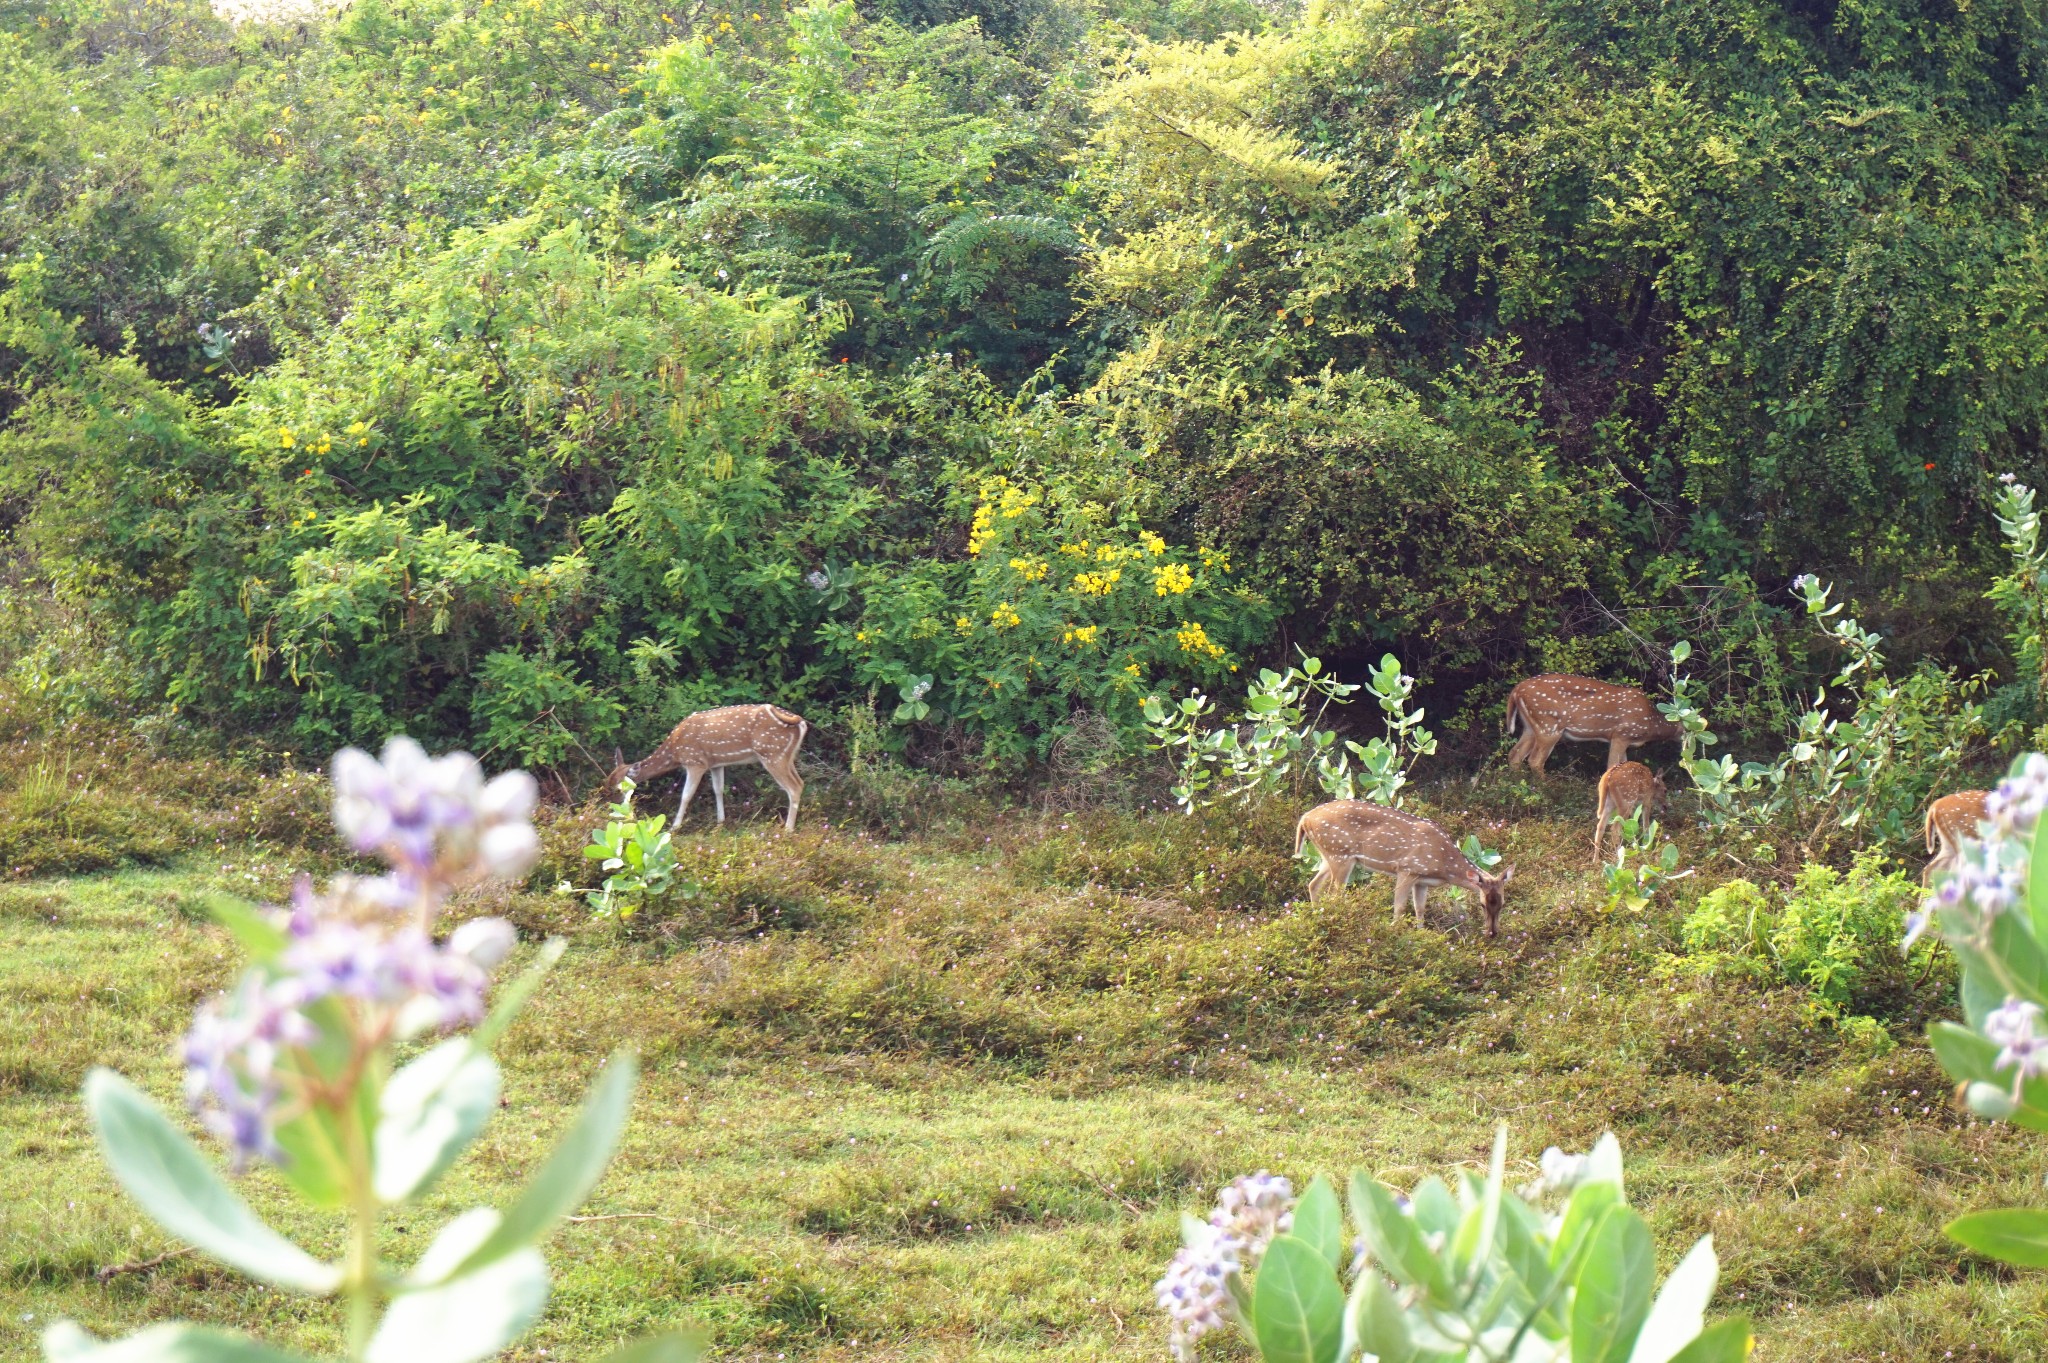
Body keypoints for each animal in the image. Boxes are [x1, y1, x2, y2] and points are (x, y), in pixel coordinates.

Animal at [606, 699, 806, 826]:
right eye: (608, 781)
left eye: (620, 788)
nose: (616, 811)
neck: (675, 750)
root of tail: (801, 723)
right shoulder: (716, 764)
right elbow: (718, 790)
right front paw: (720, 821)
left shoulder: (695, 762)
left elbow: (686, 795)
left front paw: (674, 826)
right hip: (787, 756)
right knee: (801, 782)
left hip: (772, 754)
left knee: (793, 787)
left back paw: (788, 829)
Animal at [1302, 798, 1515, 933]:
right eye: (1482, 904)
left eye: (1503, 903)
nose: (1493, 933)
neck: (1443, 865)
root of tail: (1305, 818)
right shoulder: (1407, 868)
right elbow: (1400, 907)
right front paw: (1396, 932)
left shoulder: (1422, 880)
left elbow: (1420, 909)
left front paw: (1421, 934)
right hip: (1340, 853)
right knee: (1334, 893)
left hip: (1328, 855)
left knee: (1313, 884)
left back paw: (1317, 915)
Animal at [1507, 671, 1679, 769]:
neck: (1652, 723)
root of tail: (1516, 690)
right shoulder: (1622, 734)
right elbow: (1612, 766)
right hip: (1548, 724)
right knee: (1535, 760)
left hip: (1530, 726)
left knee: (1515, 755)